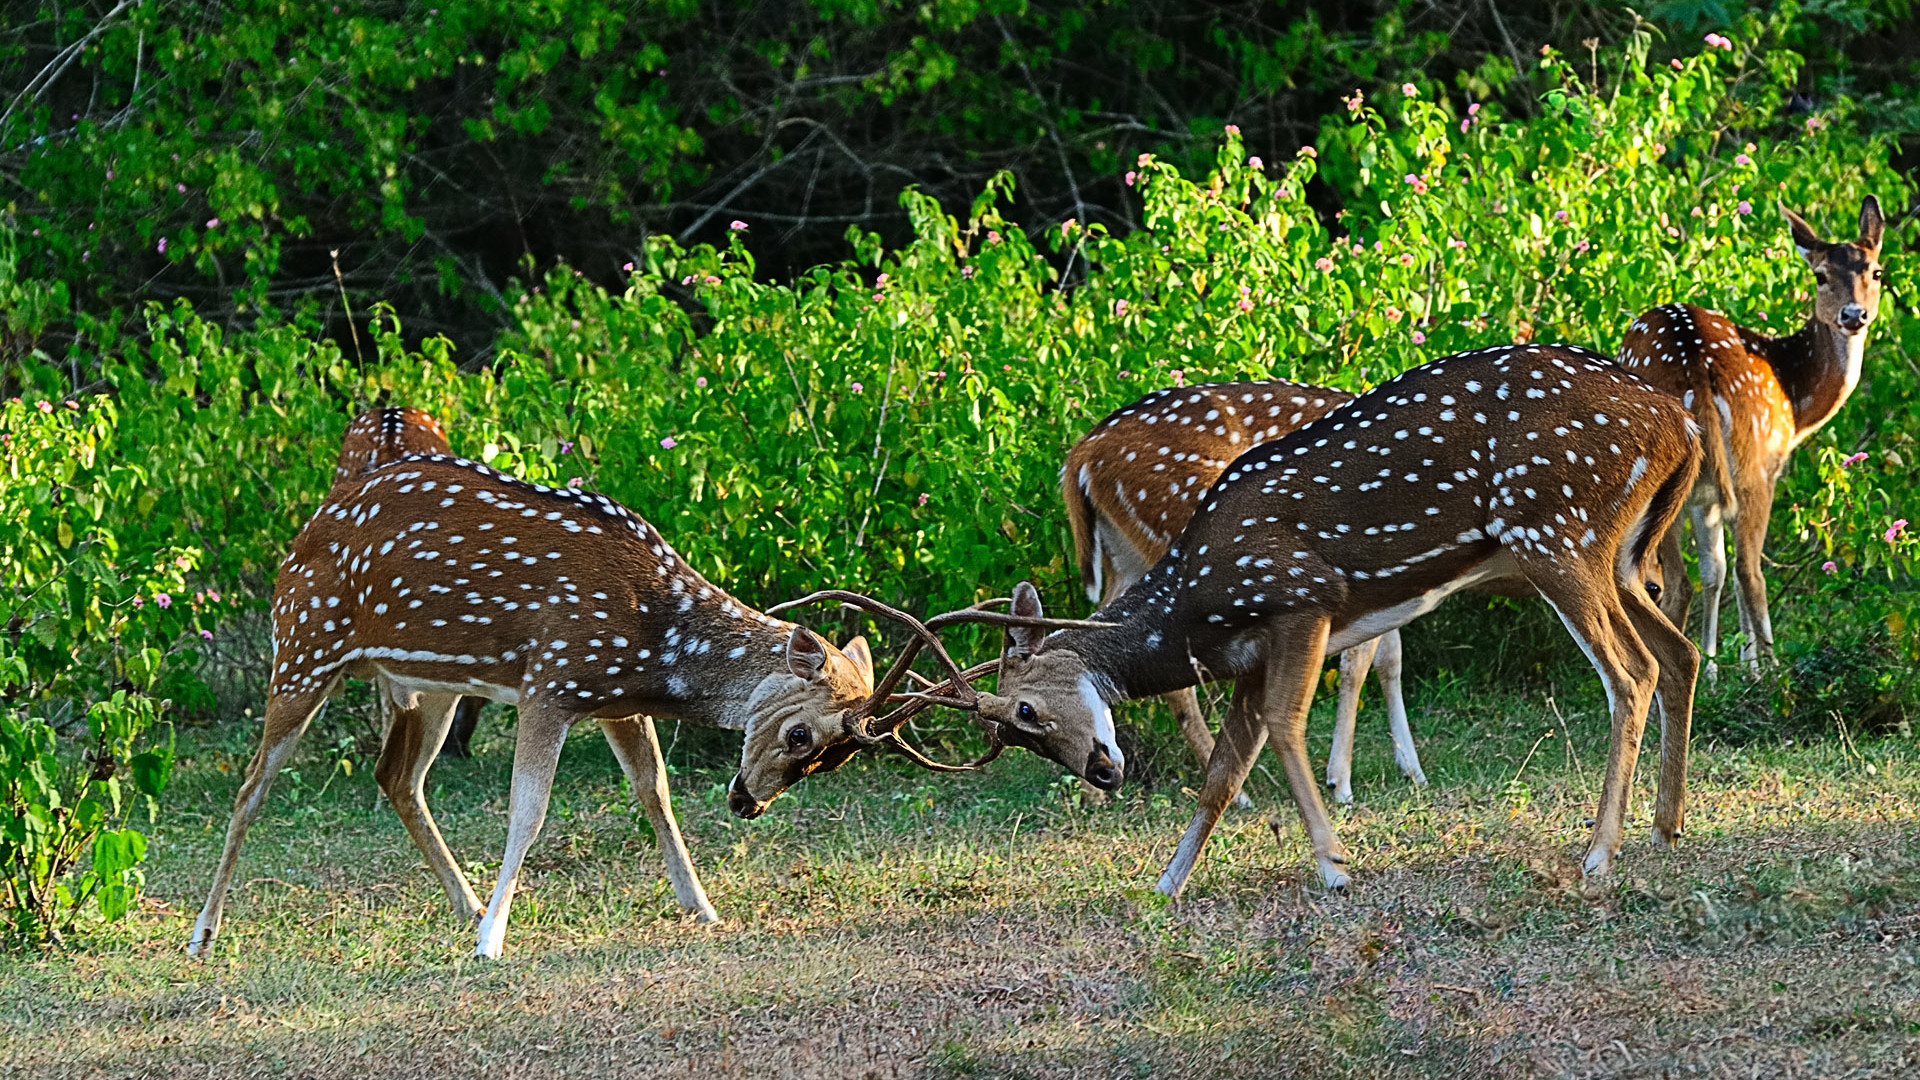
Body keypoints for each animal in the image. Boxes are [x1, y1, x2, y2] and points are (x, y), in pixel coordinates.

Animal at [189, 449, 883, 953]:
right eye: (800, 735)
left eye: (839, 758)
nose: (747, 803)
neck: (657, 643)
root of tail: (299, 538)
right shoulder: (550, 683)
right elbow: (529, 811)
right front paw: (492, 943)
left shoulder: (613, 699)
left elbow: (654, 791)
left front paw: (702, 906)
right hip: (304, 647)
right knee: (251, 787)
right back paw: (203, 934)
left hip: (432, 683)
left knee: (397, 776)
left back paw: (465, 904)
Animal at [1067, 378, 1428, 799]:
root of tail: (1081, 456)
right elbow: (1358, 663)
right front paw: (1340, 783)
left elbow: (1390, 658)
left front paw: (1412, 769)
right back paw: (1237, 792)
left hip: (1125, 556)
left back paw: (1093, 790)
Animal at [1620, 192, 1889, 664]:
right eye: (1820, 275)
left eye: (1875, 271)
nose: (1854, 315)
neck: (1796, 400)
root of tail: (1695, 364)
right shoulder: (1765, 469)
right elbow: (1729, 571)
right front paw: (1744, 664)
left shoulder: (1707, 494)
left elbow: (1714, 572)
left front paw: (1716, 667)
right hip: (1749, 467)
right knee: (1737, 572)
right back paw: (1771, 671)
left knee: (1684, 578)